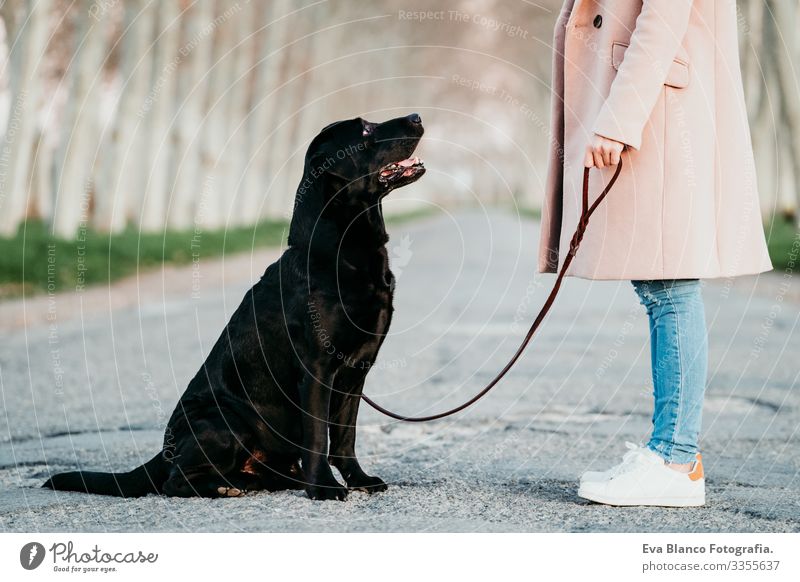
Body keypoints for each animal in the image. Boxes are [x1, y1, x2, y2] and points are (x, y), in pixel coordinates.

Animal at [43, 114, 424, 502]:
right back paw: (225, 488)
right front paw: (325, 488)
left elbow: (345, 437)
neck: (340, 253)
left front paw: (359, 479)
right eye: (365, 130)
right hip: (226, 419)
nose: (416, 117)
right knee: (173, 482)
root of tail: (164, 450)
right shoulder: (317, 369)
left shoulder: (356, 372)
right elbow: (318, 438)